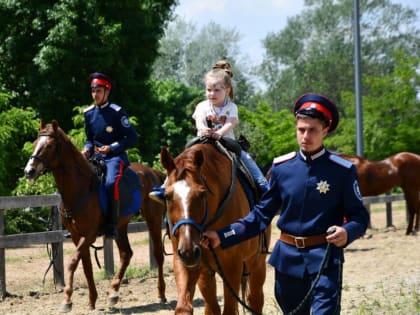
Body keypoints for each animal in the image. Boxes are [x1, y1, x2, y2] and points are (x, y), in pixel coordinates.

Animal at [23, 120, 167, 314]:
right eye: (34, 144)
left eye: (50, 145)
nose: (29, 171)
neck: (80, 188)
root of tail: (152, 173)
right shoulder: (77, 236)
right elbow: (86, 266)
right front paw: (91, 300)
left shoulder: (89, 234)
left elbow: (72, 262)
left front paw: (67, 299)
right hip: (119, 227)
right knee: (126, 254)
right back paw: (113, 292)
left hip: (153, 219)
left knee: (158, 254)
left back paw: (161, 294)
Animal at [159, 144, 268, 315]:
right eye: (167, 196)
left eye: (202, 194)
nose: (189, 251)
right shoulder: (185, 262)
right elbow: (184, 308)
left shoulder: (232, 267)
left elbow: (229, 310)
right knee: (212, 307)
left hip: (256, 264)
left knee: (255, 299)